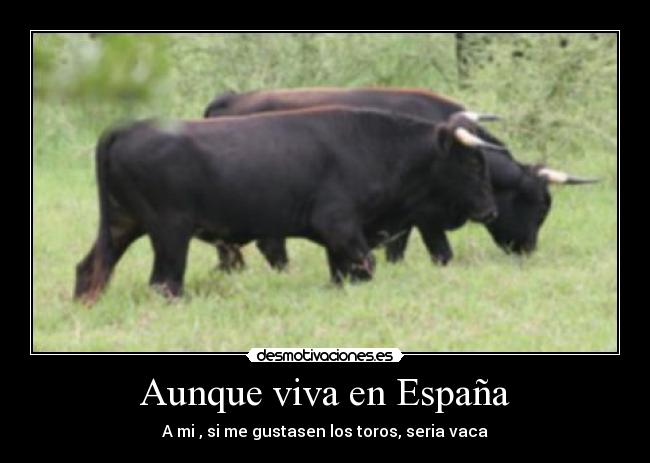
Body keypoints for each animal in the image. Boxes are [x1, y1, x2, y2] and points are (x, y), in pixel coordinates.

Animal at [74, 106, 500, 304]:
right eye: (472, 163)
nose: (490, 210)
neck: (373, 146)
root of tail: (128, 127)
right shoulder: (340, 226)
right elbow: (366, 266)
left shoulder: (339, 240)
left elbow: (343, 275)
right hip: (170, 231)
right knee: (164, 283)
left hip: (122, 224)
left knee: (90, 269)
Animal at [204, 87, 598, 271]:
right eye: (540, 206)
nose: (527, 250)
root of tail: (230, 98)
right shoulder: (424, 217)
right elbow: (440, 253)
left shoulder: (402, 218)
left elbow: (398, 250)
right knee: (268, 246)